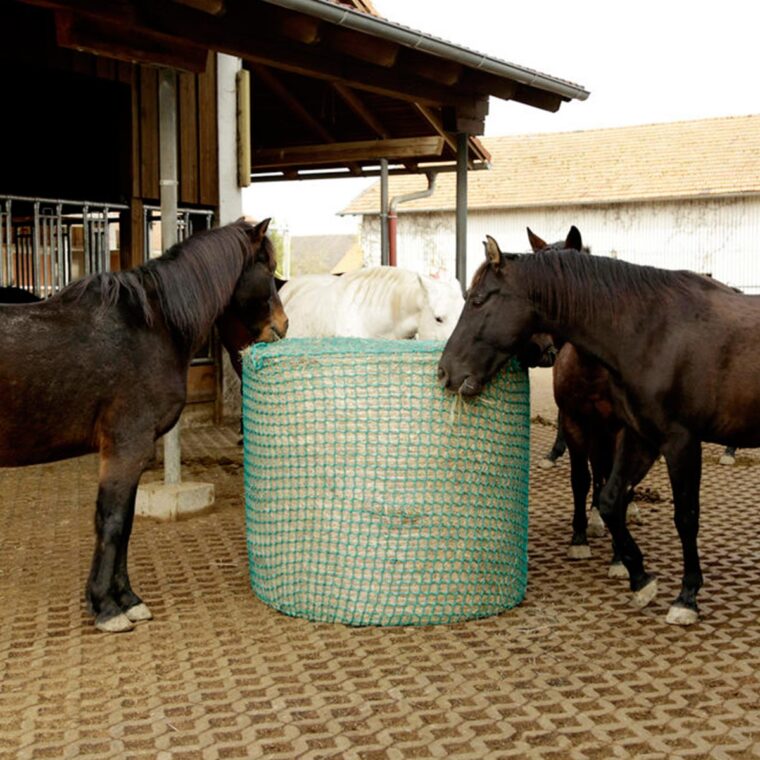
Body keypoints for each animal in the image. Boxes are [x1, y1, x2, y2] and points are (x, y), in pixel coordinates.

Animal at [0, 218, 288, 628]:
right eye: (267, 266)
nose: (282, 326)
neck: (152, 325)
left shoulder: (133, 455)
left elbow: (127, 524)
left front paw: (127, 599)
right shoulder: (126, 448)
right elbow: (113, 522)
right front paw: (107, 607)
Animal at [436, 240, 756, 628]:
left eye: (479, 300)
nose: (445, 371)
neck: (654, 333)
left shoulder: (681, 441)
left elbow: (686, 516)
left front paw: (687, 597)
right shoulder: (641, 436)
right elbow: (609, 499)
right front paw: (640, 578)